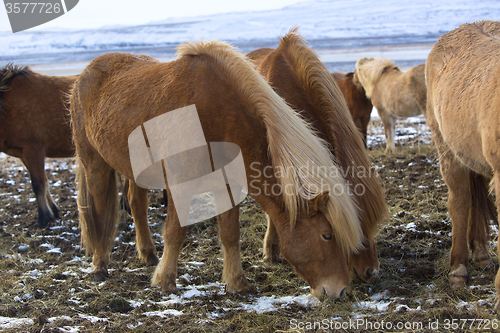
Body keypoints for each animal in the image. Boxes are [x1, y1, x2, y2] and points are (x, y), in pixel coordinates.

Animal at [0, 63, 76, 227]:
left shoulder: (32, 150)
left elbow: (38, 184)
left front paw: (44, 218)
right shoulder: (23, 154)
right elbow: (44, 182)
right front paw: (54, 211)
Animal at [70, 40, 366, 300]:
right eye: (327, 235)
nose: (340, 291)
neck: (216, 116)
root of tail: (86, 73)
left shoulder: (228, 186)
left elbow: (230, 234)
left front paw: (237, 283)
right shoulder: (180, 186)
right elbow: (175, 233)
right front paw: (165, 281)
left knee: (136, 204)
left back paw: (148, 254)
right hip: (93, 163)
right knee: (99, 214)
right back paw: (99, 265)